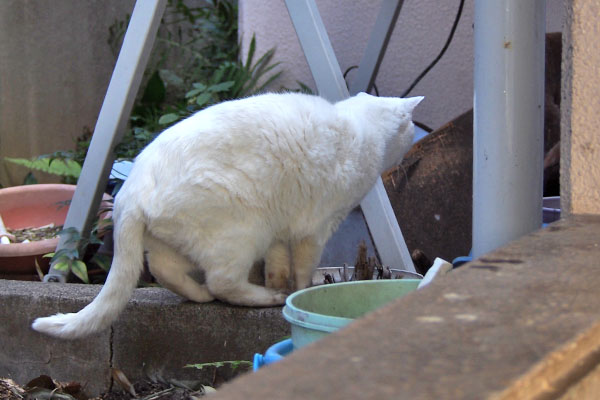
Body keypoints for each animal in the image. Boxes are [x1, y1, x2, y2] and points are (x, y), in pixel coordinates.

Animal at [31, 92, 422, 340]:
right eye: (409, 128)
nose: (414, 139)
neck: (361, 128)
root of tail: (131, 190)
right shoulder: (315, 229)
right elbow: (302, 269)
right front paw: (296, 291)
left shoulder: (281, 230)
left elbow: (279, 264)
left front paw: (279, 283)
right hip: (241, 233)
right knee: (223, 282)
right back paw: (265, 298)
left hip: (189, 241)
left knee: (164, 270)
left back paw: (202, 295)